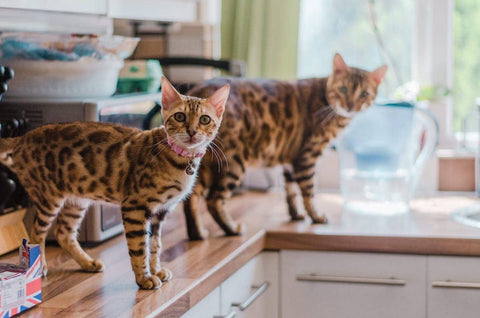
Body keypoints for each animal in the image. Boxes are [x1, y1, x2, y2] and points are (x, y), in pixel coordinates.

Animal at [0, 76, 231, 290]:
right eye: (180, 116)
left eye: (204, 119)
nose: (192, 131)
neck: (181, 160)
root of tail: (22, 139)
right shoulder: (135, 206)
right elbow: (139, 247)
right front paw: (144, 278)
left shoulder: (160, 212)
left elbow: (155, 245)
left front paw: (155, 270)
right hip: (48, 197)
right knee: (36, 232)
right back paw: (40, 267)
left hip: (77, 199)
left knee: (63, 233)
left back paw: (88, 263)